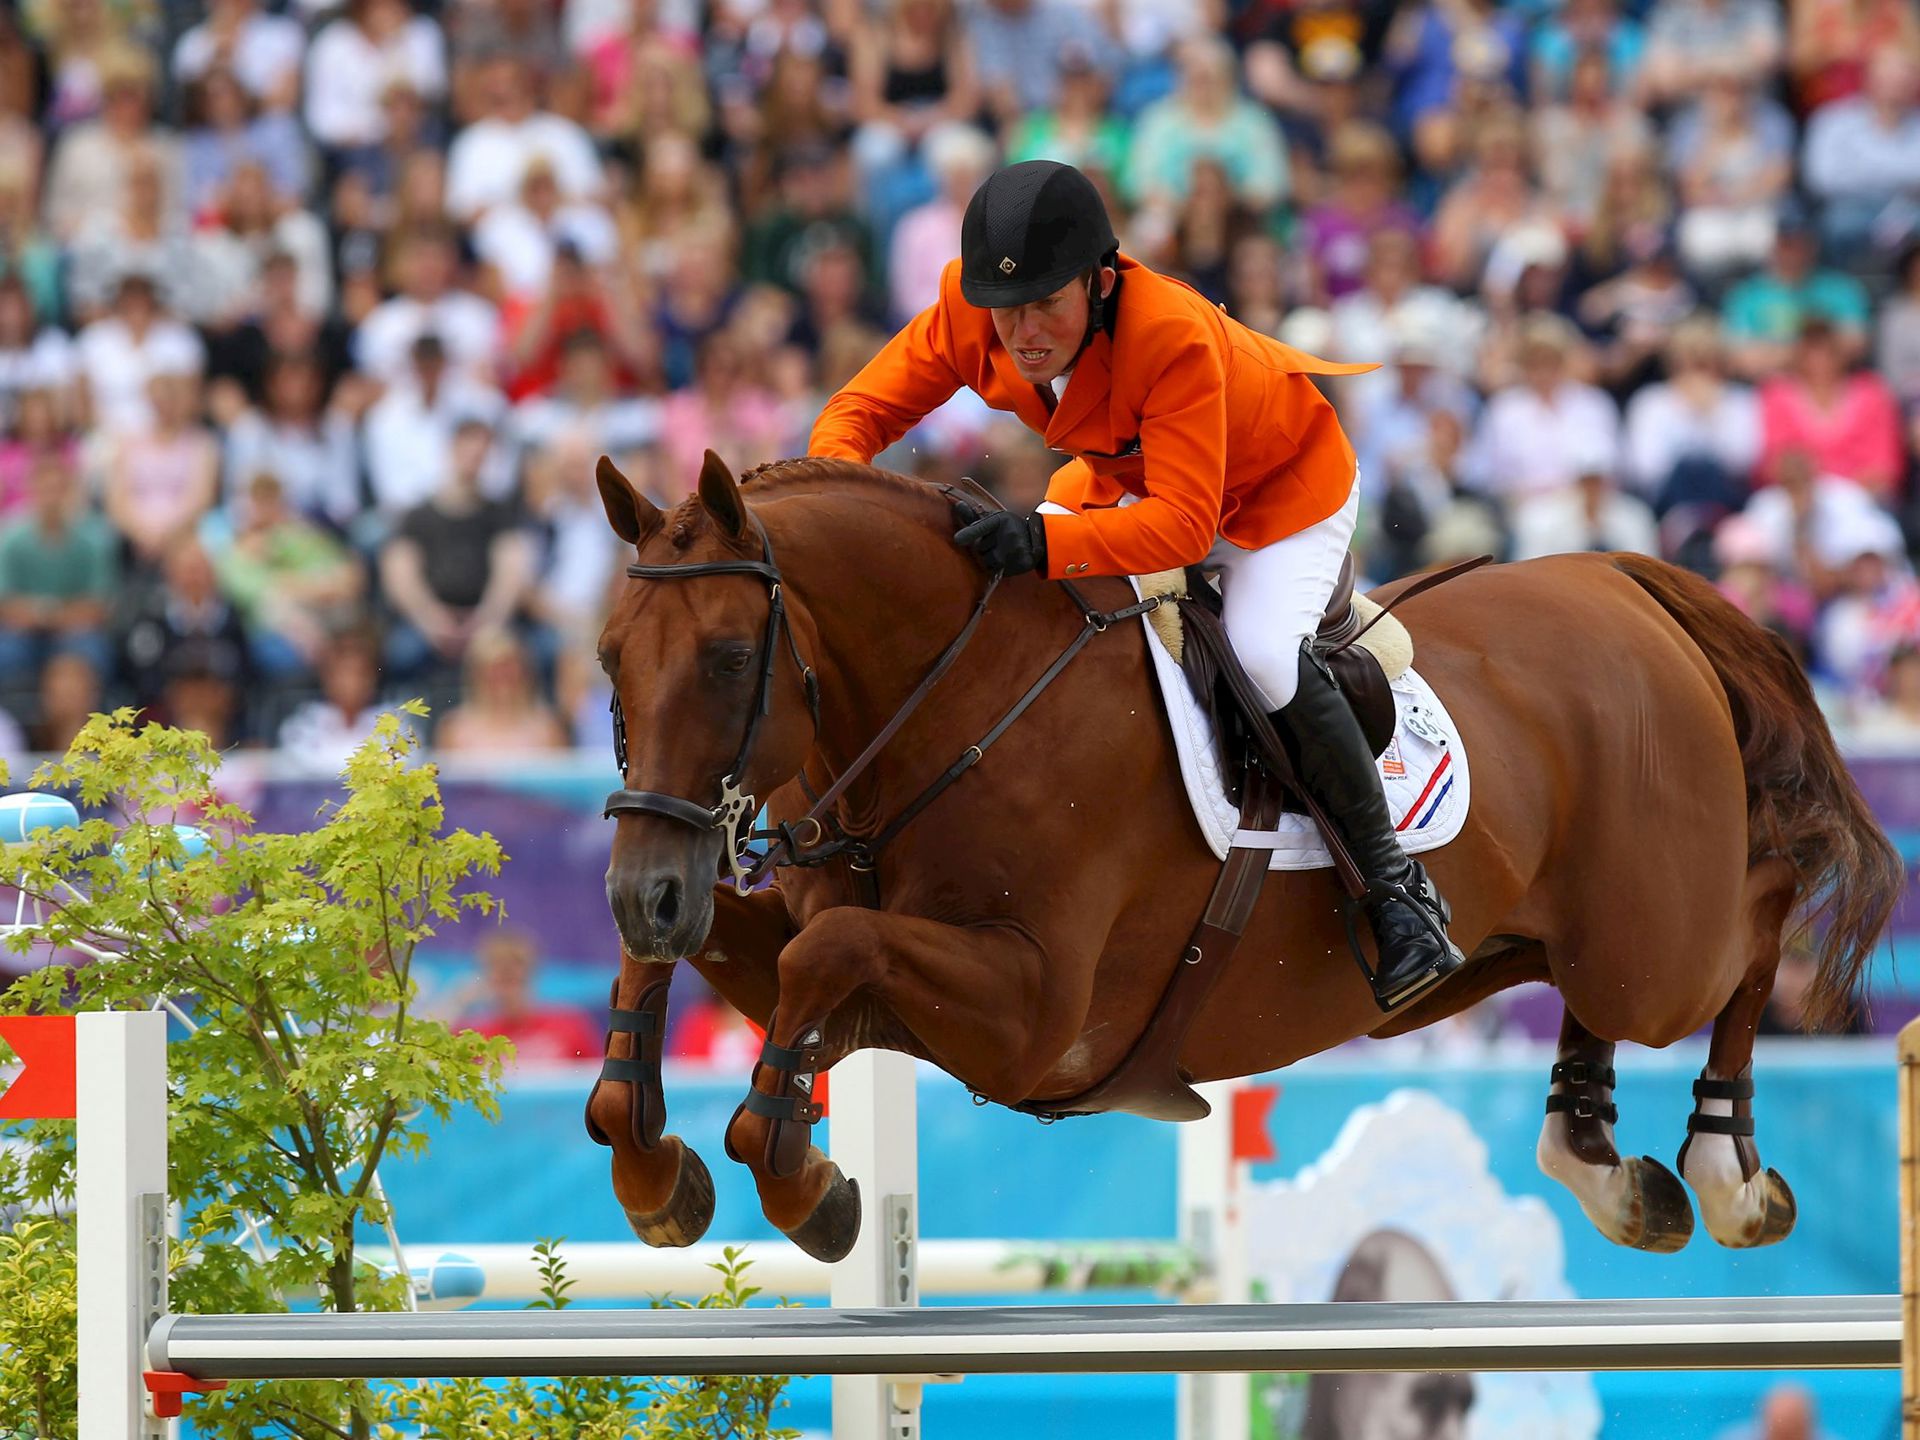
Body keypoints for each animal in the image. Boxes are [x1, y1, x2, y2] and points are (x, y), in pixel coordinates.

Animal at [583, 451, 1904, 1259]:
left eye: (727, 661)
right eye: (607, 658)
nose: (648, 889)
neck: (952, 703)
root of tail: (1622, 581)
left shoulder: (1032, 1013)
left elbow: (828, 958)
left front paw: (798, 1179)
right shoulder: (878, 981)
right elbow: (740, 965)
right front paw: (654, 1164)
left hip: (1658, 941)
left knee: (1763, 912)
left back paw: (1727, 1166)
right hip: (1550, 939)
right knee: (1591, 997)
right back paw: (1597, 1158)